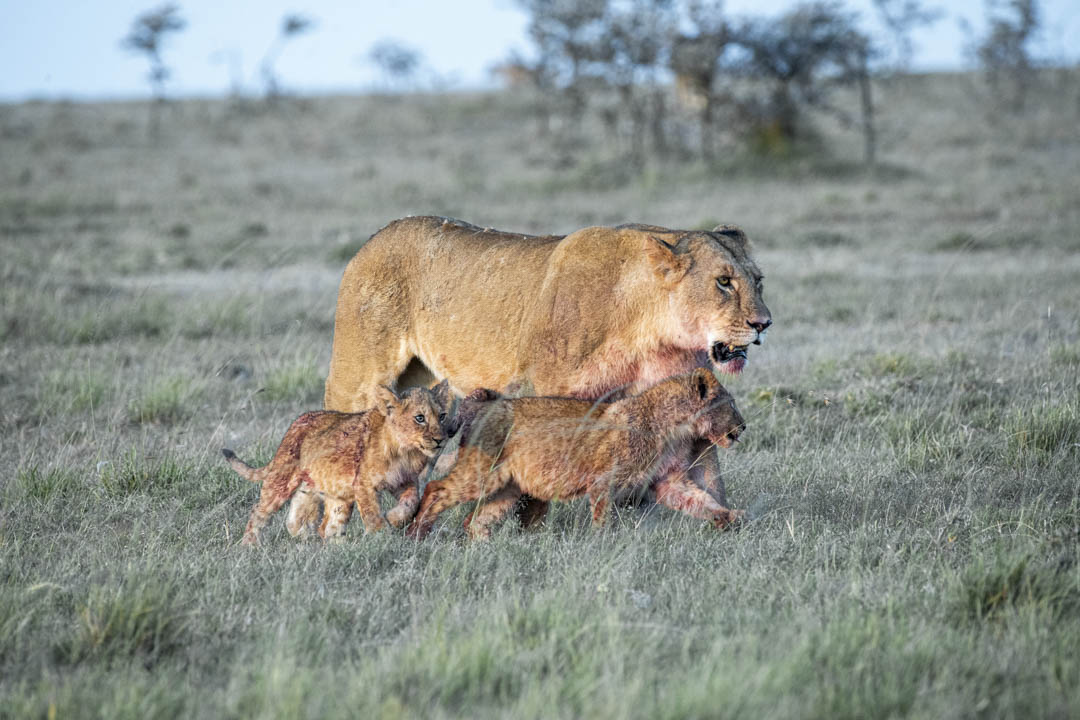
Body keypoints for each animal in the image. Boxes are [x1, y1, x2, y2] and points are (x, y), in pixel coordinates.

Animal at [223, 381, 450, 544]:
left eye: (442, 416)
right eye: (420, 418)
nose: (440, 439)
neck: (406, 451)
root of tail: (296, 423)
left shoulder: (404, 481)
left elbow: (412, 503)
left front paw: (394, 519)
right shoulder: (364, 484)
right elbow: (372, 515)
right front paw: (382, 538)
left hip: (327, 491)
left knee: (315, 523)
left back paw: (320, 545)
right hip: (282, 479)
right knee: (259, 512)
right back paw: (250, 546)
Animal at [406, 369, 746, 541]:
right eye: (729, 403)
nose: (744, 426)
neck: (675, 430)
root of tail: (480, 403)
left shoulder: (665, 482)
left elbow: (699, 500)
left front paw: (730, 517)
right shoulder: (604, 481)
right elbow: (603, 518)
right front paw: (600, 543)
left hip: (508, 486)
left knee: (475, 520)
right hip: (481, 474)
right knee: (436, 489)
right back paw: (417, 533)